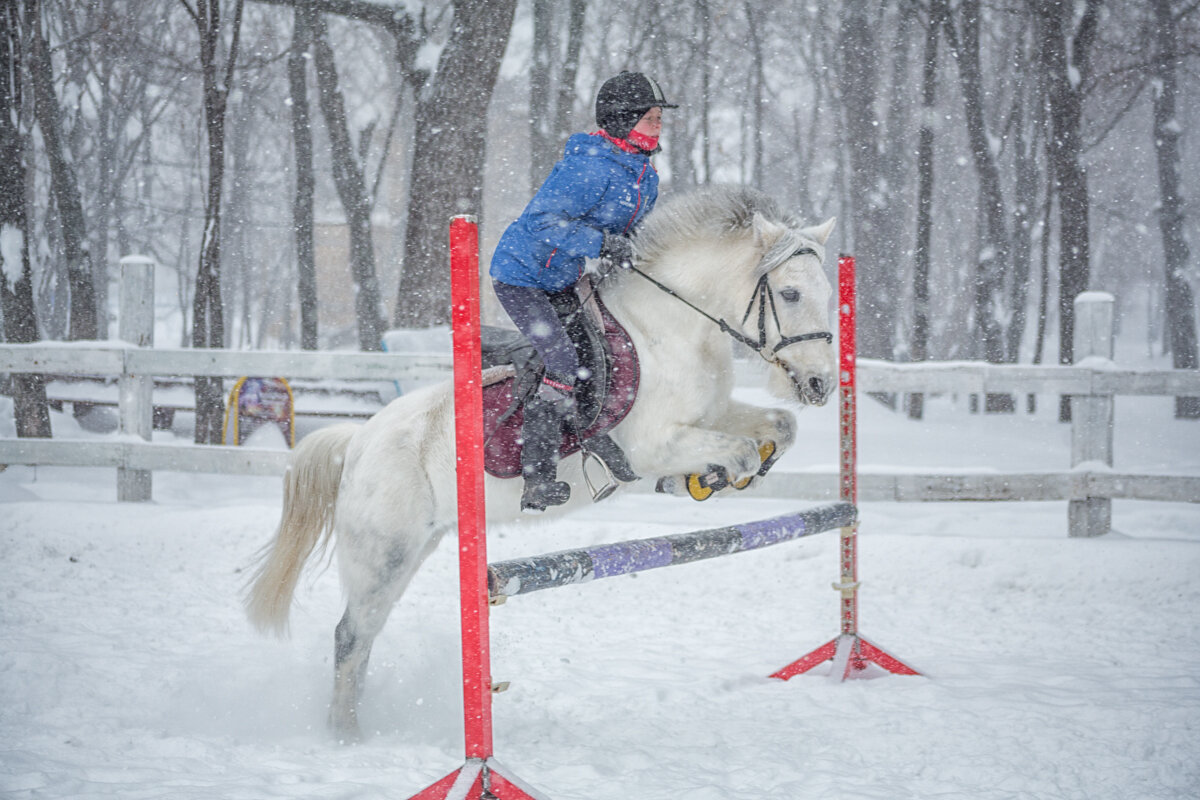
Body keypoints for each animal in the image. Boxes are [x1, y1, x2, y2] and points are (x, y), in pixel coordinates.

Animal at [243, 184, 835, 743]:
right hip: (382, 554)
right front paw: (709, 477)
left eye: (830, 294)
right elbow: (735, 451)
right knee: (350, 635)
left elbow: (781, 427)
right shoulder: (652, 444)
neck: (671, 328)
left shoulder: (714, 414)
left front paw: (712, 477)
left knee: (364, 637)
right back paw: (345, 738)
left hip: (415, 547)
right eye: (789, 293)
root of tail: (360, 439)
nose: (821, 385)